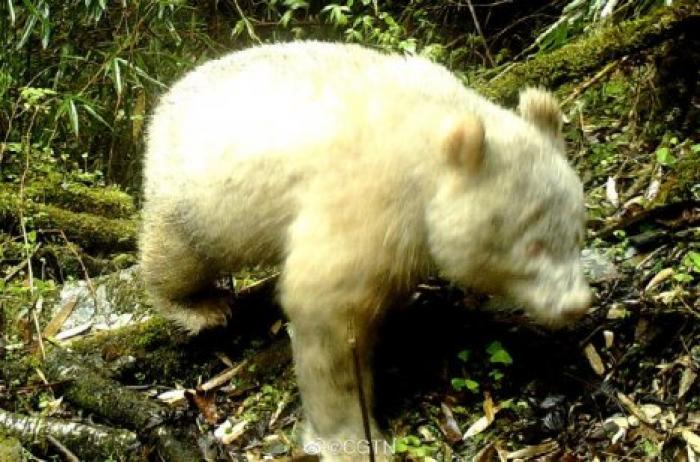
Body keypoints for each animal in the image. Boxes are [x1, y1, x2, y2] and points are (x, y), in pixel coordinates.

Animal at [141, 41, 592, 460]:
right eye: (533, 246)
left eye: (577, 233)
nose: (576, 304)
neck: (428, 140)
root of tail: (167, 98)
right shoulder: (367, 198)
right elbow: (326, 310)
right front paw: (350, 438)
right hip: (194, 196)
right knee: (177, 255)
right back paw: (200, 307)